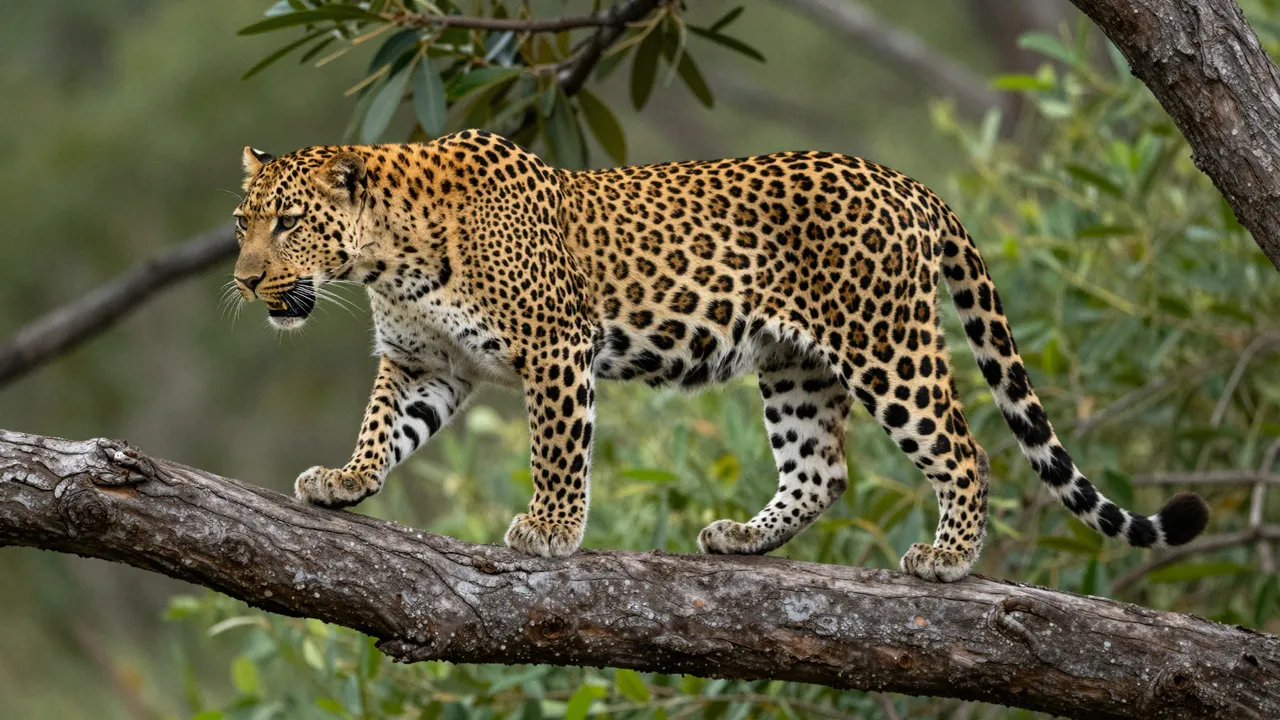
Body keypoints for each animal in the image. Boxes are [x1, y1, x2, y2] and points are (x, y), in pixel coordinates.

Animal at [231, 129, 1209, 582]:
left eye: (289, 222)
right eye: (242, 223)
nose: (242, 281)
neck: (384, 259)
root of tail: (907, 183)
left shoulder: (555, 347)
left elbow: (558, 451)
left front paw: (550, 531)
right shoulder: (422, 364)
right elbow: (382, 425)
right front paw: (345, 480)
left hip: (886, 342)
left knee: (963, 448)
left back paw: (949, 556)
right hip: (794, 364)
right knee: (822, 470)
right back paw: (745, 537)